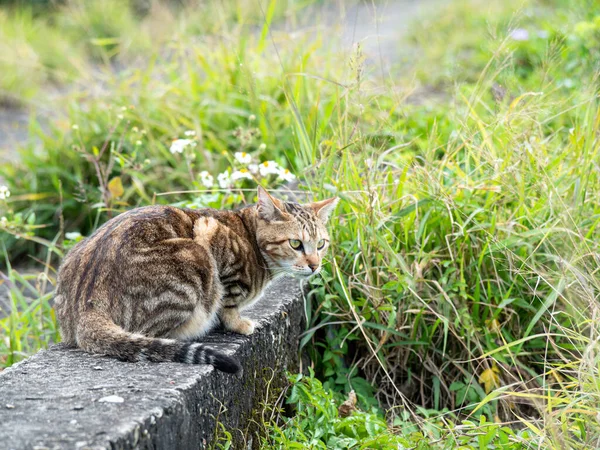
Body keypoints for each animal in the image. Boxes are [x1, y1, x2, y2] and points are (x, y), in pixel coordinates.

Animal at [55, 185, 338, 374]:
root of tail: (86, 306)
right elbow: (228, 300)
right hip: (195, 258)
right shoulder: (211, 234)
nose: (315, 266)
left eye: (321, 244)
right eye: (296, 244)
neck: (250, 238)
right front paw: (238, 323)